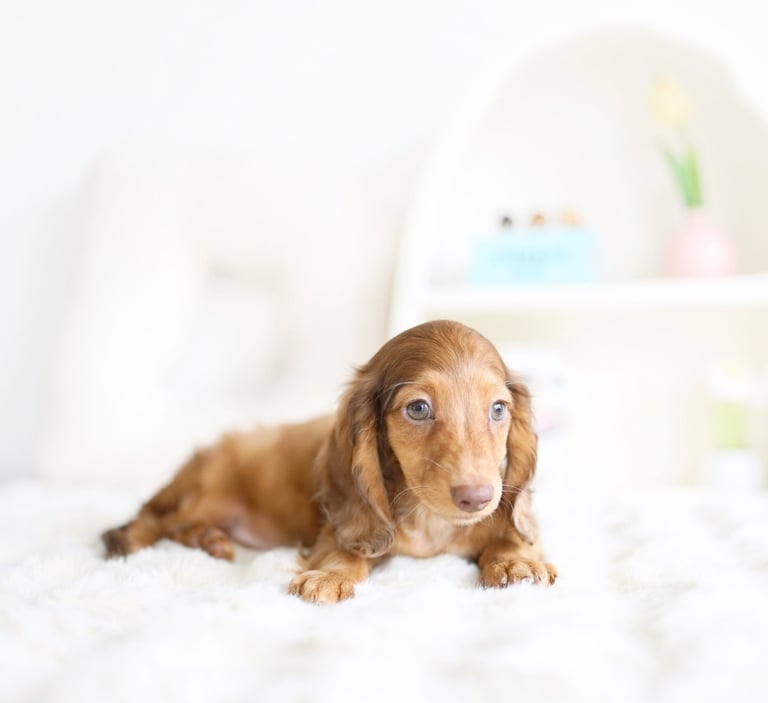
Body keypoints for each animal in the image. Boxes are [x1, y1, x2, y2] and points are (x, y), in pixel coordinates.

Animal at [102, 320, 557, 603]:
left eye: (498, 409)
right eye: (418, 409)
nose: (477, 498)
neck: (431, 522)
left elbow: (512, 534)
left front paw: (515, 561)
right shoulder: (341, 522)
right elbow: (346, 549)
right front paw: (332, 575)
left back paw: (210, 541)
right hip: (205, 493)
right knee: (153, 517)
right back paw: (129, 542)